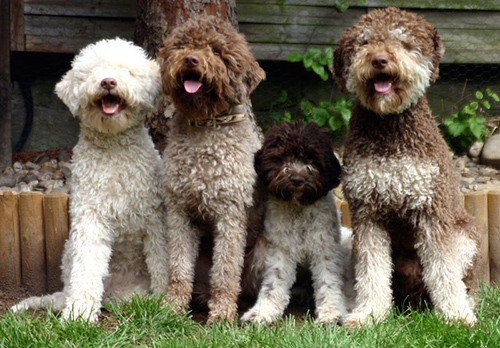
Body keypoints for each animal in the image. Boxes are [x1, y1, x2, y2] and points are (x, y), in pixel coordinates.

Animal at [11, 38, 168, 320]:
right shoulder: (90, 217)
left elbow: (160, 262)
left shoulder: (154, 219)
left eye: (127, 71)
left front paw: (164, 300)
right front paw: (79, 313)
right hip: (69, 251)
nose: (108, 82)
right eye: (92, 71)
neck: (115, 148)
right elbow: (87, 266)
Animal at [240, 121, 350, 324]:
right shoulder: (280, 249)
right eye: (282, 157)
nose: (297, 179)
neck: (298, 210)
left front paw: (331, 314)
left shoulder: (324, 248)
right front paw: (262, 312)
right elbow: (273, 283)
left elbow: (328, 282)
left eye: (311, 160)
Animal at [332, 7, 480, 326]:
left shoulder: (431, 209)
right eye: (364, 42)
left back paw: (467, 302)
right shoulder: (367, 213)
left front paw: (455, 314)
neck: (391, 130)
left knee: (464, 280)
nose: (379, 59)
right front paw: (369, 313)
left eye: (403, 41)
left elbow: (443, 268)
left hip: (466, 237)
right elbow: (372, 271)